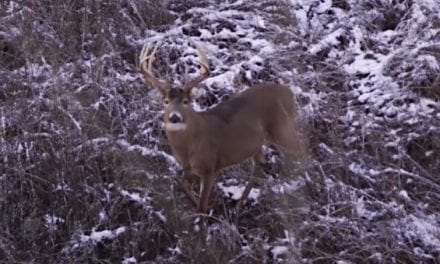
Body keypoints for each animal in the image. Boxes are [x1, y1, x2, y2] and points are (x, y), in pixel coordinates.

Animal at [138, 40, 302, 214]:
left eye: (186, 101)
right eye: (166, 101)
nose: (175, 117)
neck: (189, 146)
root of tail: (290, 92)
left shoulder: (210, 168)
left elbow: (202, 207)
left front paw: (207, 212)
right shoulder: (188, 167)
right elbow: (183, 186)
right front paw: (209, 207)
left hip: (283, 128)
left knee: (302, 149)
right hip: (257, 143)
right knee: (259, 165)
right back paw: (239, 205)